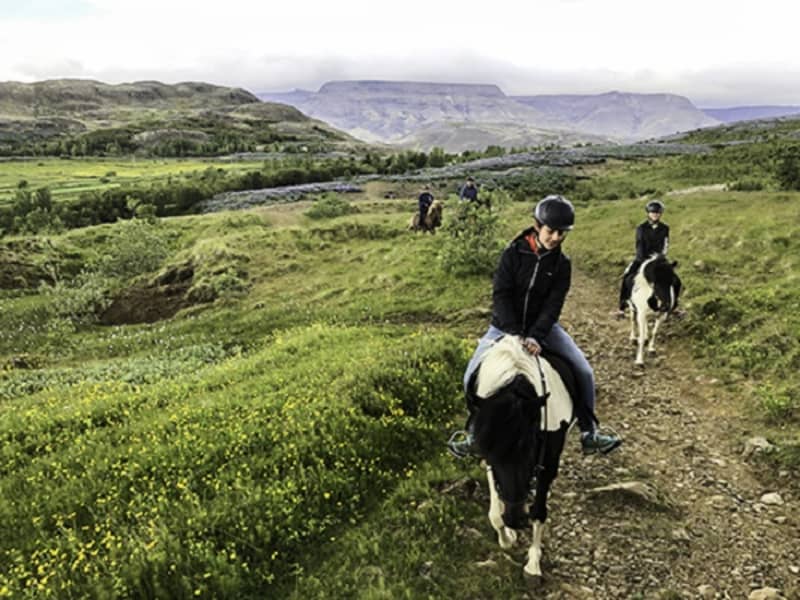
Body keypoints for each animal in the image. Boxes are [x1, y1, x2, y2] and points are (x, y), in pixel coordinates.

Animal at [468, 336, 576, 580]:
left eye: (532, 446)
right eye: (487, 450)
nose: (515, 520)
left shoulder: (547, 462)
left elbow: (539, 511)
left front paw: (533, 564)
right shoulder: (491, 461)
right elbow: (496, 512)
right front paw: (506, 537)